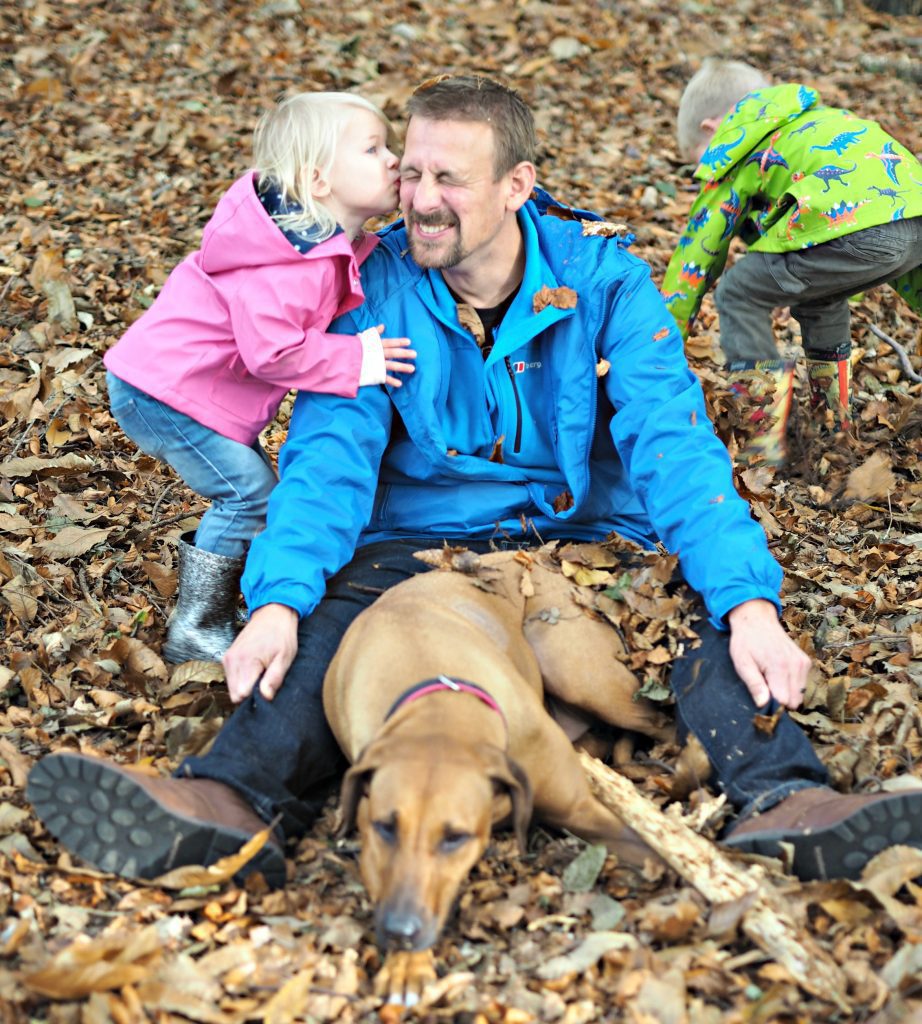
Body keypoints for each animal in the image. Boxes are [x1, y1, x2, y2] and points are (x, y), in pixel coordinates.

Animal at [319, 548, 680, 1003]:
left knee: (662, 721)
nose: (399, 933)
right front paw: (405, 966)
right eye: (386, 828)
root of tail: (535, 557)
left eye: (455, 837)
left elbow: (656, 851)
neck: (440, 708)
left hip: (581, 672)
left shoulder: (583, 809)